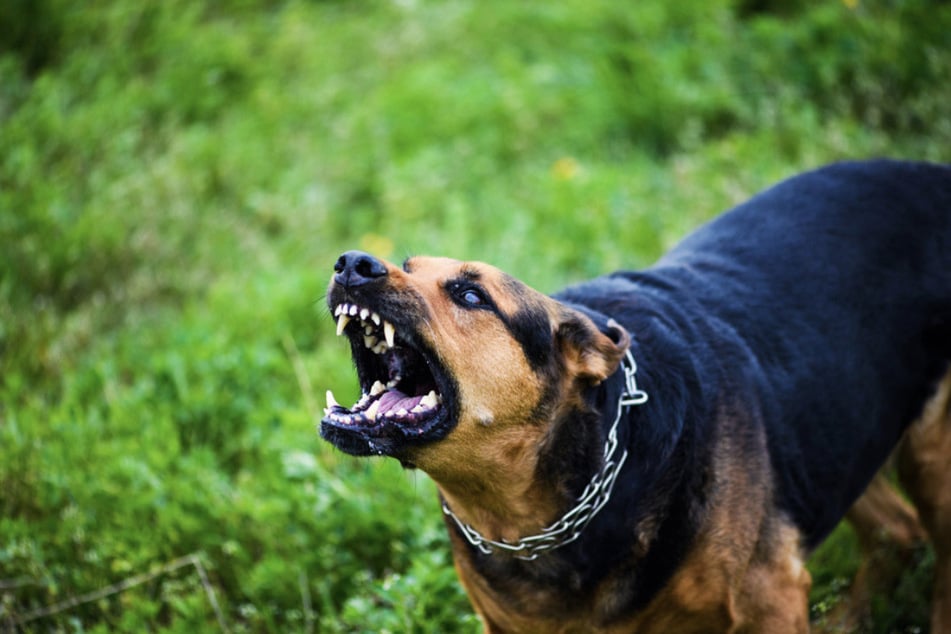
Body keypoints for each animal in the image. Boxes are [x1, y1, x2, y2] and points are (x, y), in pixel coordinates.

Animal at [322, 162, 951, 632]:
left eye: (471, 295)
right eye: (408, 265)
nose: (353, 263)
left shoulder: (770, 597)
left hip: (929, 460)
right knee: (897, 530)